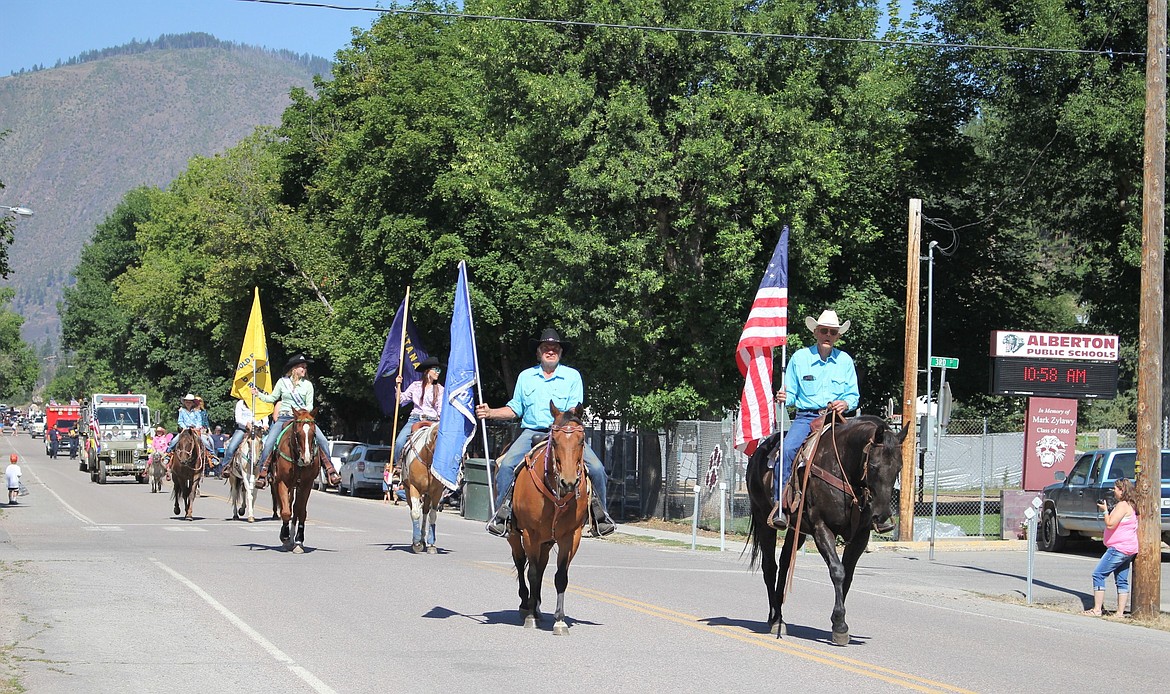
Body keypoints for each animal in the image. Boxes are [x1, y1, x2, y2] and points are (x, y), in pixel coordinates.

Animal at [267, 404, 318, 552]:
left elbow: (301, 512)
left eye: (314, 434)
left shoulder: (306, 484)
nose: (307, 459)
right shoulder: (282, 483)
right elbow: (285, 511)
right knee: (287, 506)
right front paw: (284, 537)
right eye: (297, 433)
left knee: (295, 508)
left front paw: (299, 541)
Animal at [397, 421, 442, 552]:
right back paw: (417, 540)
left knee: (426, 512)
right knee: (414, 510)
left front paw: (432, 544)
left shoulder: (437, 491)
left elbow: (433, 515)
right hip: (408, 490)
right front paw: (416, 543)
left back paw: (423, 539)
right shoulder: (414, 488)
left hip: (427, 494)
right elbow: (415, 513)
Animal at [507, 400, 589, 631]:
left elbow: (560, 577)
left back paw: (536, 607)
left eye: (581, 441)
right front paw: (530, 617)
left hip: (547, 540)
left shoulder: (571, 536)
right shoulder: (530, 534)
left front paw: (559, 621)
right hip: (515, 535)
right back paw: (526, 605)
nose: (568, 482)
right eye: (556, 442)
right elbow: (532, 574)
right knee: (521, 563)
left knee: (542, 567)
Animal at [748, 411, 903, 646]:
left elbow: (848, 575)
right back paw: (775, 618)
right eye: (874, 466)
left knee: (784, 564)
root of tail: (759, 451)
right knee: (770, 567)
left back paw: (779, 616)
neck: (843, 469)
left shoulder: (860, 536)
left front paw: (837, 622)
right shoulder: (822, 528)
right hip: (764, 519)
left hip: (797, 530)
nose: (882, 516)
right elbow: (837, 571)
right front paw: (840, 625)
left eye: (899, 468)